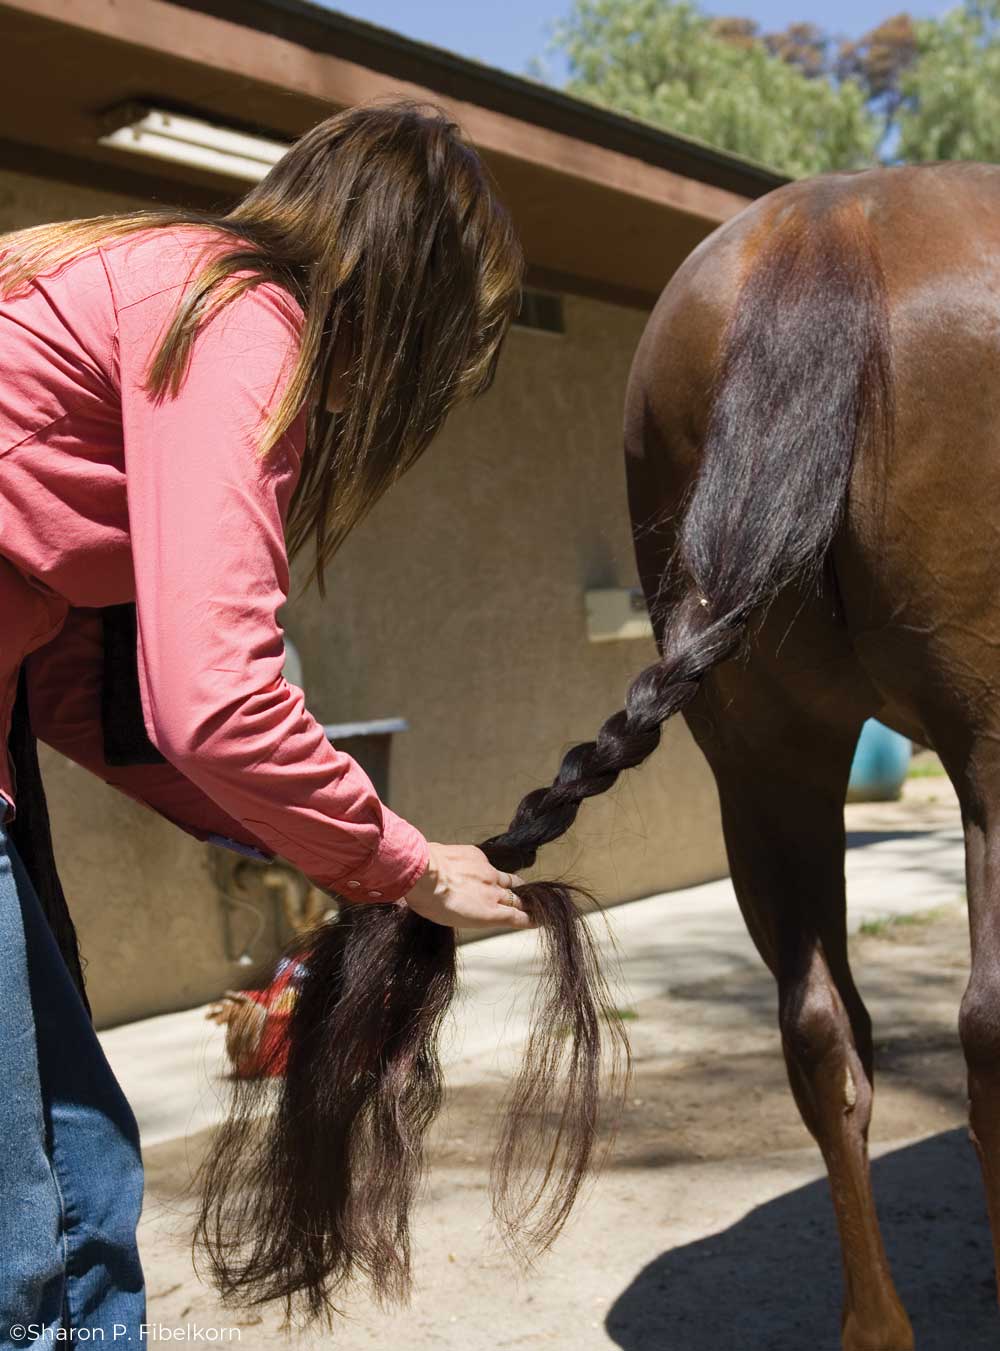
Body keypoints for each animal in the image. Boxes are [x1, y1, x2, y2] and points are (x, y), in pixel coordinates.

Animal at [624, 155, 1000, 1340]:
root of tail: (825, 223)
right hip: (985, 749)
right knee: (986, 1023)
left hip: (765, 774)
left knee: (820, 1032)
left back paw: (877, 1327)